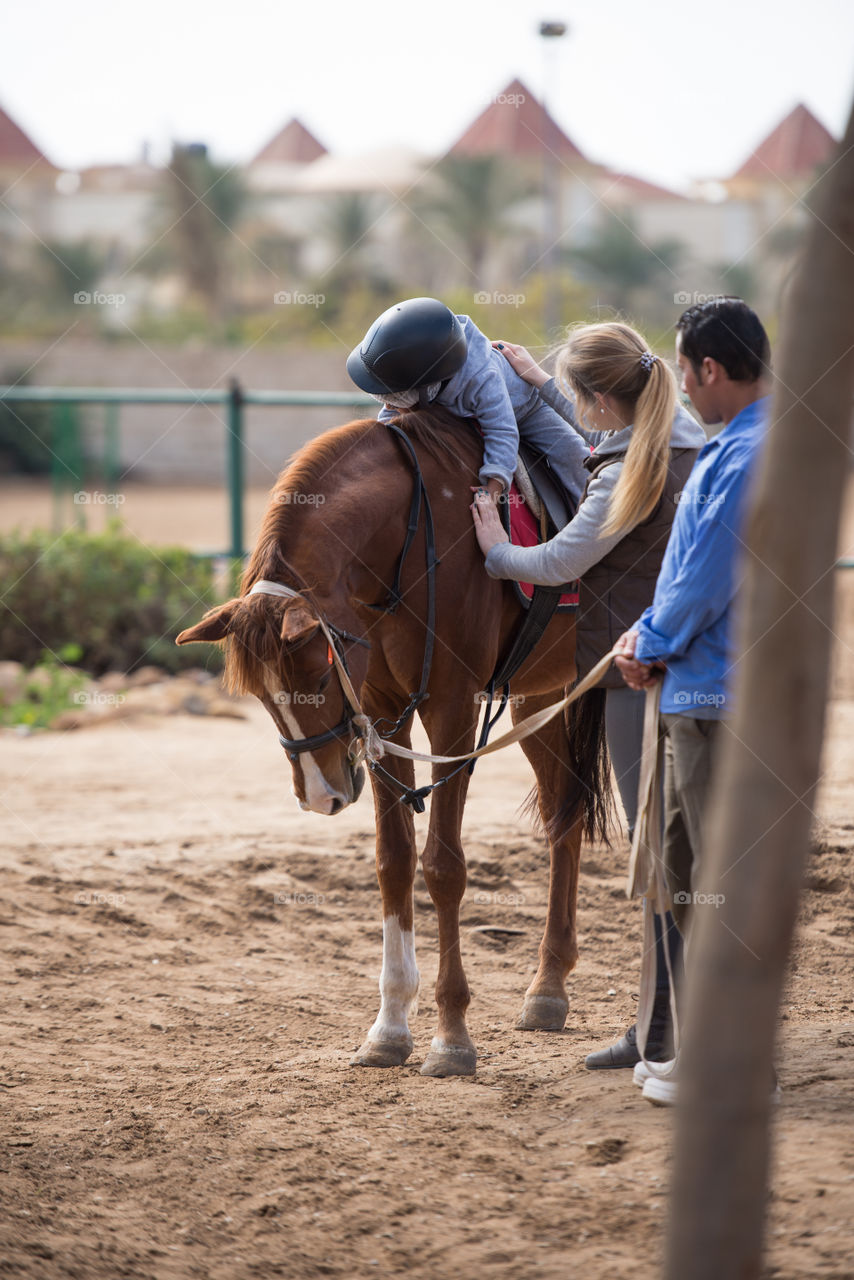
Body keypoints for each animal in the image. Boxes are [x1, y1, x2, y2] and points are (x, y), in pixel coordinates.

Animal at [179, 404, 606, 1075]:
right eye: (261, 697)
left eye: (318, 676)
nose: (320, 794)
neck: (407, 545)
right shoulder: (384, 713)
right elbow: (395, 860)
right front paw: (390, 1025)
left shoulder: (453, 712)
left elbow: (443, 867)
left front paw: (452, 1034)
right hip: (539, 701)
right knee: (565, 815)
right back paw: (548, 988)